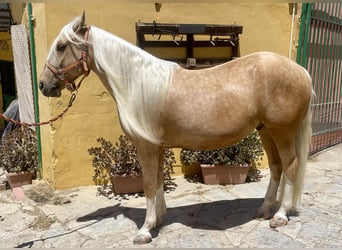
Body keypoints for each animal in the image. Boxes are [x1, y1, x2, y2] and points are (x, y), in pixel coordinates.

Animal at [38, 13, 312, 244]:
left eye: (61, 46)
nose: (43, 85)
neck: (136, 83)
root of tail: (302, 72)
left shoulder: (146, 146)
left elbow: (148, 184)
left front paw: (145, 230)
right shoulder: (157, 146)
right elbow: (158, 179)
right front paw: (158, 219)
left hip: (282, 132)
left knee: (290, 167)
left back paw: (280, 216)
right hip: (266, 131)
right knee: (276, 168)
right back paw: (264, 210)